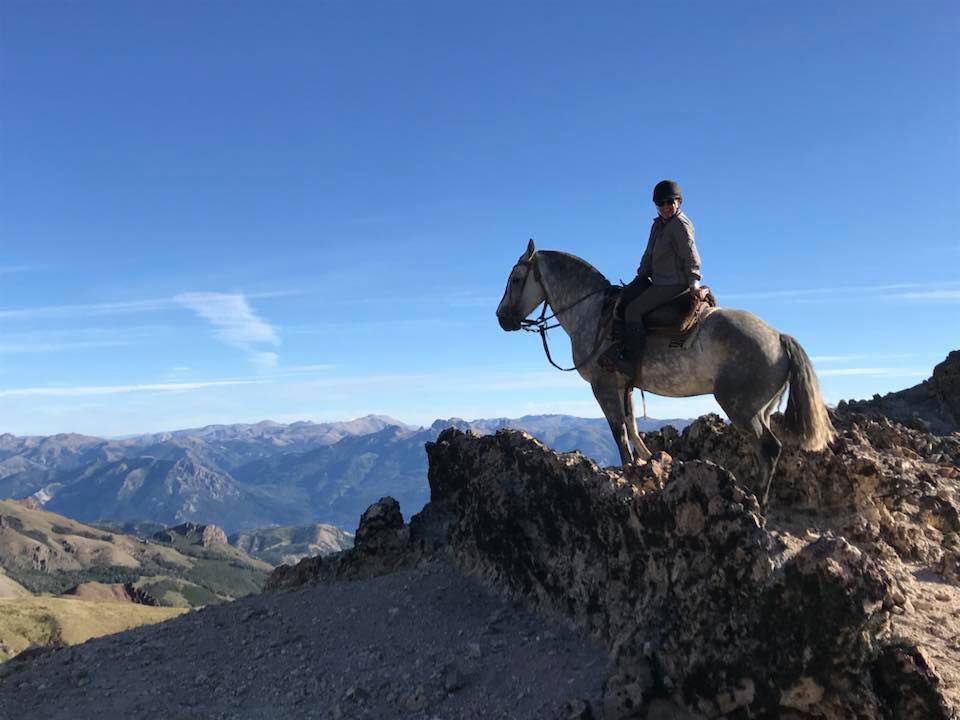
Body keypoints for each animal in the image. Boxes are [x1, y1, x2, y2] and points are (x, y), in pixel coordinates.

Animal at [495, 239, 835, 507]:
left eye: (515, 279)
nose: (501, 318)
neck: (592, 312)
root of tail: (778, 337)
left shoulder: (602, 386)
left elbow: (619, 432)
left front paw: (628, 471)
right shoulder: (625, 385)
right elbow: (632, 426)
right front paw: (647, 462)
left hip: (740, 407)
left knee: (769, 448)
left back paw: (758, 503)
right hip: (761, 409)